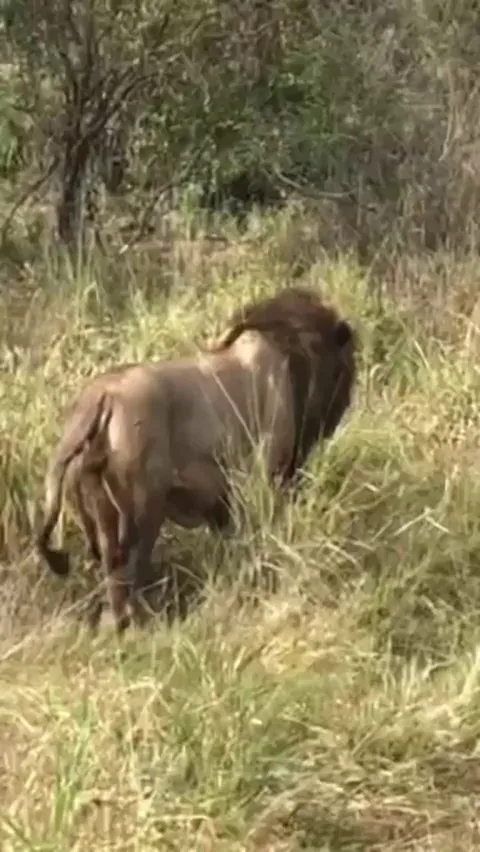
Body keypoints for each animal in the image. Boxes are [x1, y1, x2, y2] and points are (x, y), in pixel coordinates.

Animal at [35, 285, 356, 634]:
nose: (345, 402)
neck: (291, 354)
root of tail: (102, 397)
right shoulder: (267, 476)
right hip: (145, 507)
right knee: (128, 568)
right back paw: (137, 622)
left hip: (103, 507)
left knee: (112, 570)